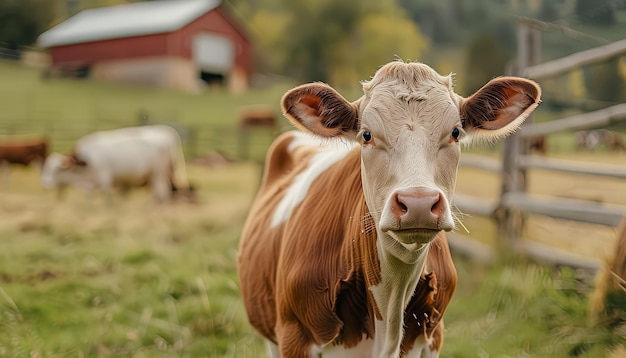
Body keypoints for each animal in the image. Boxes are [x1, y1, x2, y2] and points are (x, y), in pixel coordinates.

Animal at [39, 124, 190, 203]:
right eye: (45, 167)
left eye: (55, 170)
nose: (45, 184)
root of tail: (164, 129)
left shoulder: (105, 179)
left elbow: (108, 200)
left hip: (159, 173)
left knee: (162, 193)